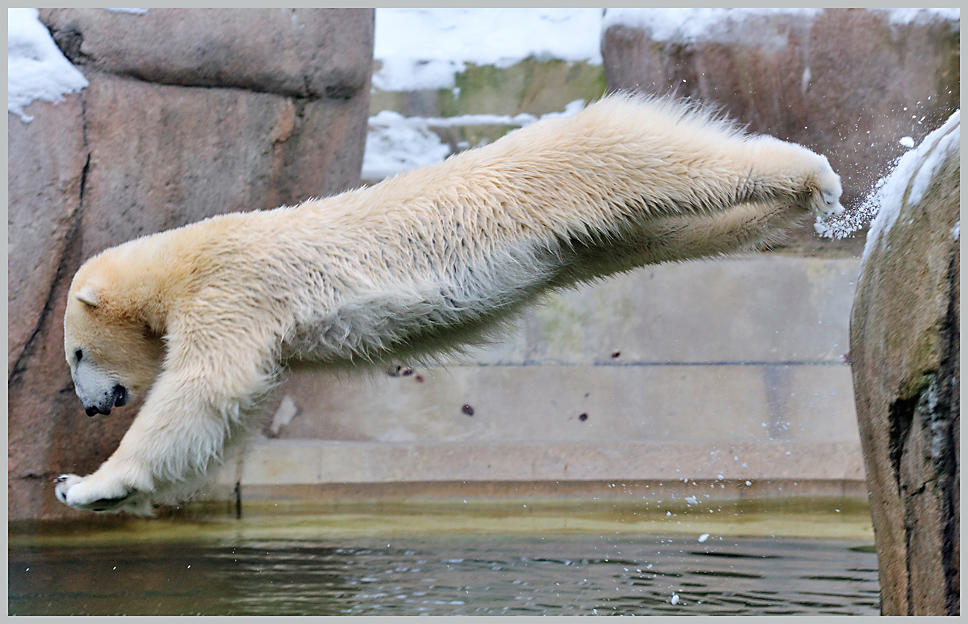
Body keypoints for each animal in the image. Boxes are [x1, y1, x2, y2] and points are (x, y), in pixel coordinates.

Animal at [54, 92, 840, 512]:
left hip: (581, 169)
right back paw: (784, 211)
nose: (91, 408)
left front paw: (84, 483)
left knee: (671, 163)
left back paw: (814, 175)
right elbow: (232, 410)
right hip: (596, 237)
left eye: (75, 353)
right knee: (674, 230)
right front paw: (106, 490)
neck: (180, 263)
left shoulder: (230, 289)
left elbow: (204, 388)